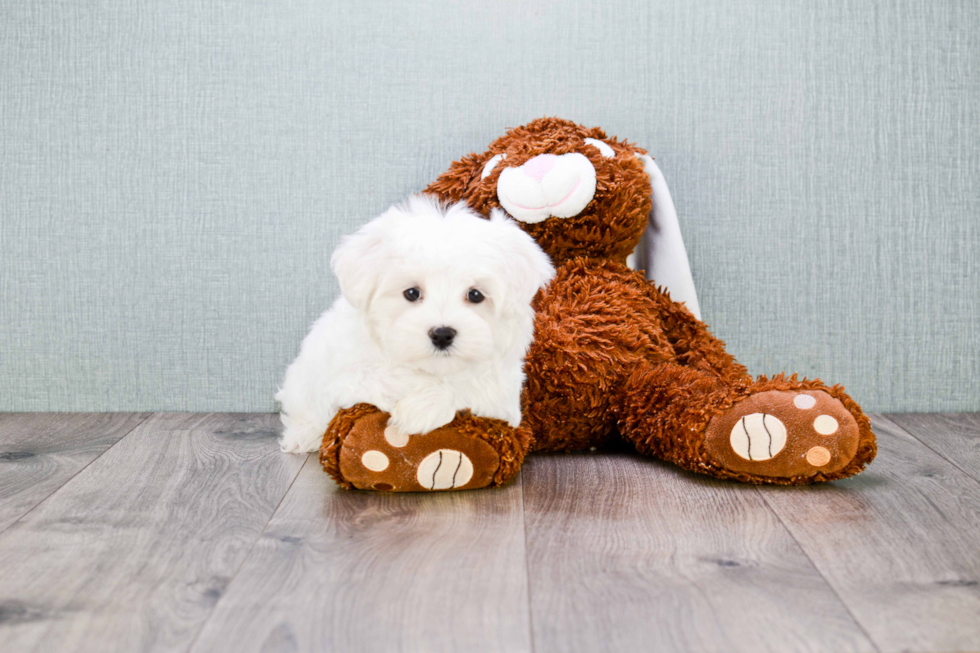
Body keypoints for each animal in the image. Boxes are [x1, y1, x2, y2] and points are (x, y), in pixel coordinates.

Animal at [278, 194, 552, 454]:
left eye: (475, 295)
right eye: (411, 293)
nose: (442, 334)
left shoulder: (502, 395)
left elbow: (472, 387)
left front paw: (422, 409)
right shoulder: (350, 373)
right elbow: (388, 378)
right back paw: (303, 436)